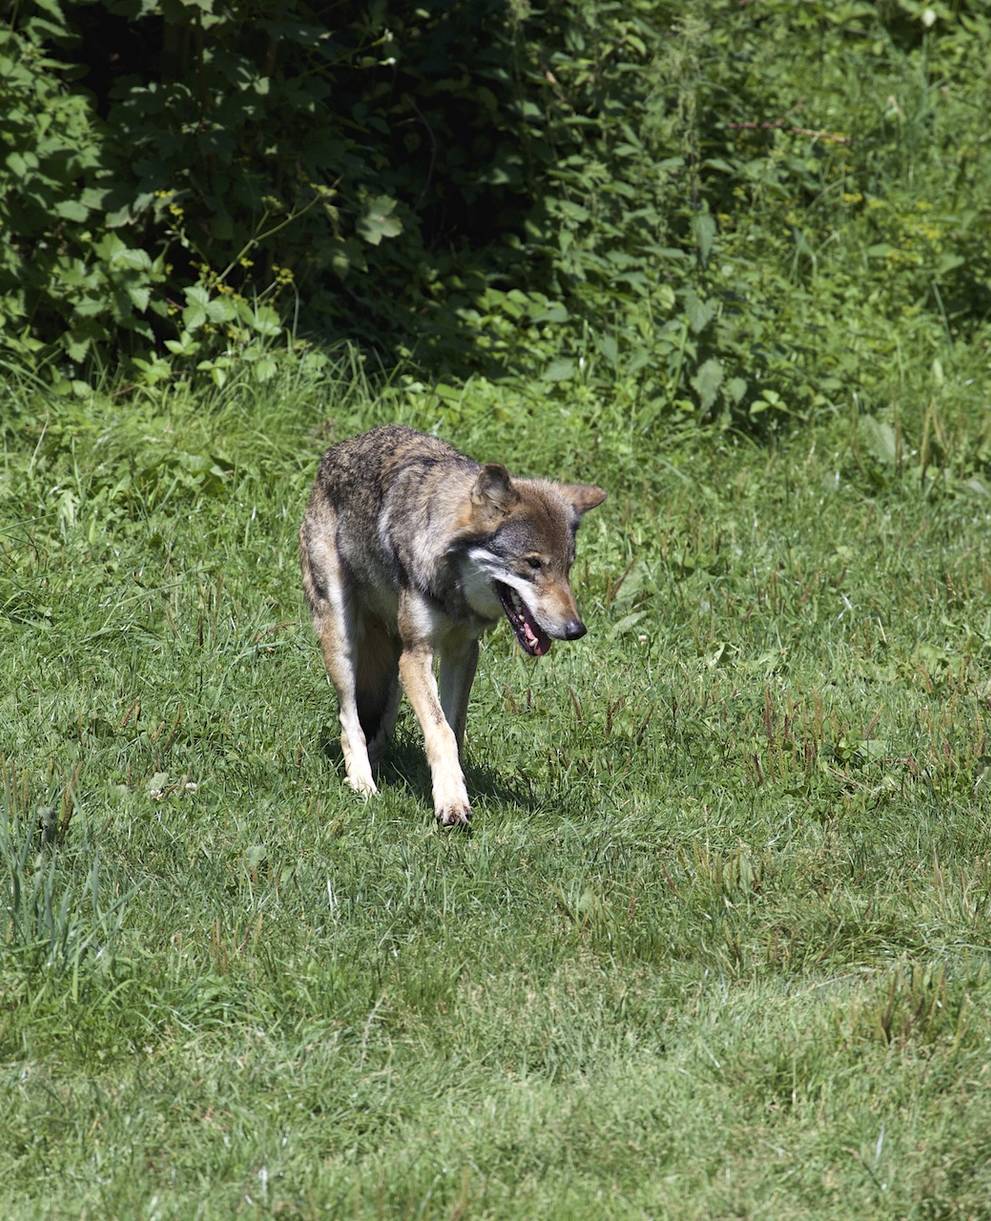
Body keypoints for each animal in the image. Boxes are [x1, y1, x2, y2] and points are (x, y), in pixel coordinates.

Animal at [299, 425, 605, 827]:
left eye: (567, 567)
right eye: (533, 564)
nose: (575, 630)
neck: (454, 589)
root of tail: (335, 452)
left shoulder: (462, 651)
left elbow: (453, 726)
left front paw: (453, 786)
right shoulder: (417, 654)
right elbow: (440, 730)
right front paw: (452, 804)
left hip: (392, 659)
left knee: (379, 717)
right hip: (342, 637)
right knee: (350, 719)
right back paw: (363, 784)